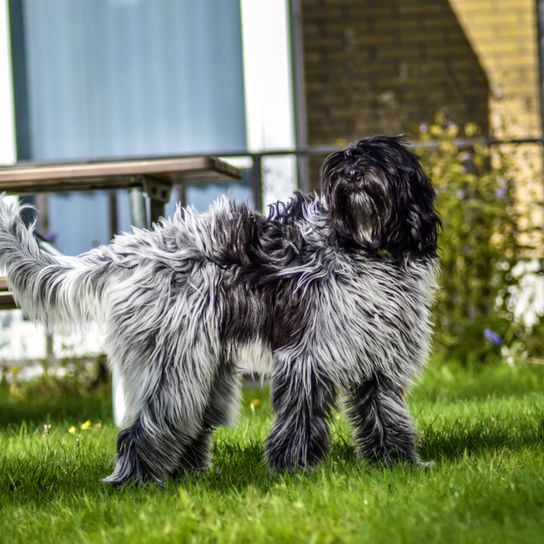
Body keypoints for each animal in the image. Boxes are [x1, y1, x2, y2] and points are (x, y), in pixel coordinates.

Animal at [0, 135, 440, 484]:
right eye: (347, 161)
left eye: (376, 160)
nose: (351, 173)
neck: (366, 250)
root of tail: (134, 251)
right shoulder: (307, 357)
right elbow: (299, 418)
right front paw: (292, 470)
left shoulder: (379, 363)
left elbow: (385, 414)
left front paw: (398, 463)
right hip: (173, 364)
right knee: (145, 428)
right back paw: (135, 482)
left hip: (203, 367)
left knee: (187, 426)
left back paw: (182, 475)